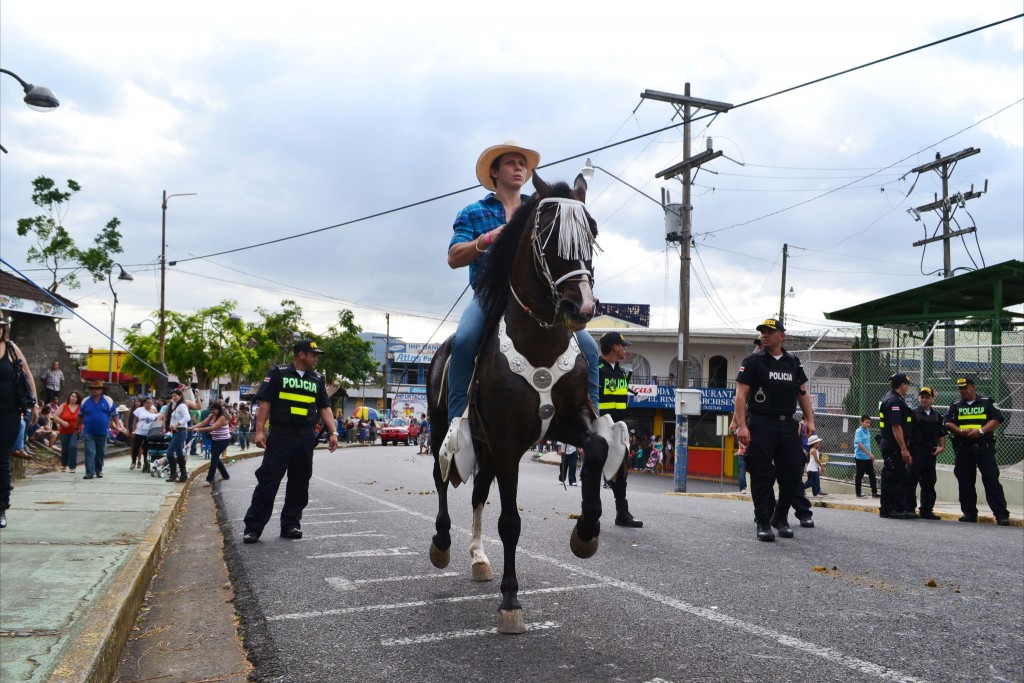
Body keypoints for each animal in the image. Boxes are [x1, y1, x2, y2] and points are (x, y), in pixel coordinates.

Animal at [425, 174, 610, 634]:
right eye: (546, 233)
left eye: (592, 231)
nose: (580, 306)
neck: (540, 340)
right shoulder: (508, 440)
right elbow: (510, 522)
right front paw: (510, 600)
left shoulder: (564, 422)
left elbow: (598, 448)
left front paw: (586, 533)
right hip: (444, 430)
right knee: (441, 478)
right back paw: (442, 544)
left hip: (488, 448)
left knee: (477, 492)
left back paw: (479, 557)